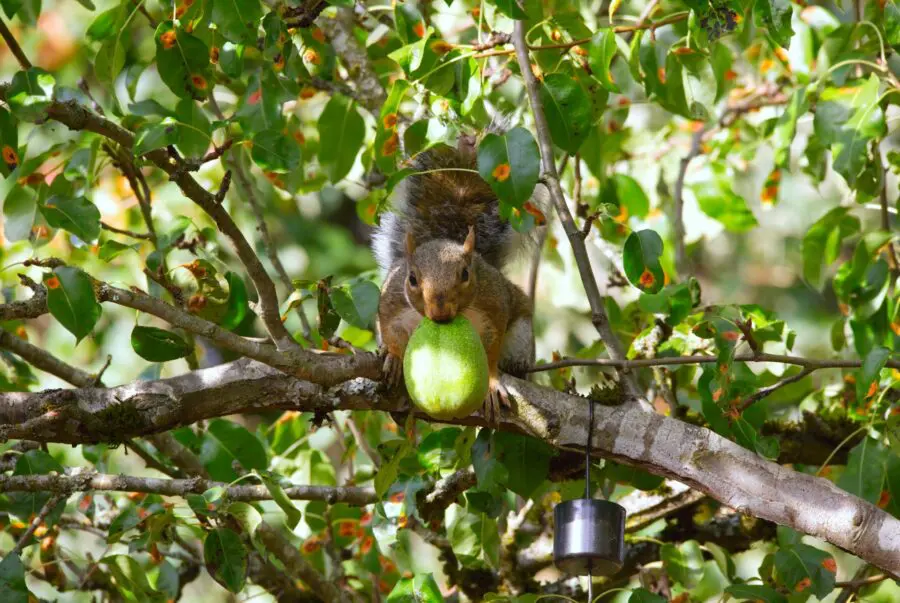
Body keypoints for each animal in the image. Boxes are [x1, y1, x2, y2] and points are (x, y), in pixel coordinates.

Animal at [370, 132, 540, 424]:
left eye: (466, 274)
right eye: (412, 279)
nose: (439, 312)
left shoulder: (493, 304)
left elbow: (492, 348)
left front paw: (492, 384)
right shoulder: (391, 302)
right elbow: (390, 329)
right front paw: (392, 356)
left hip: (520, 339)